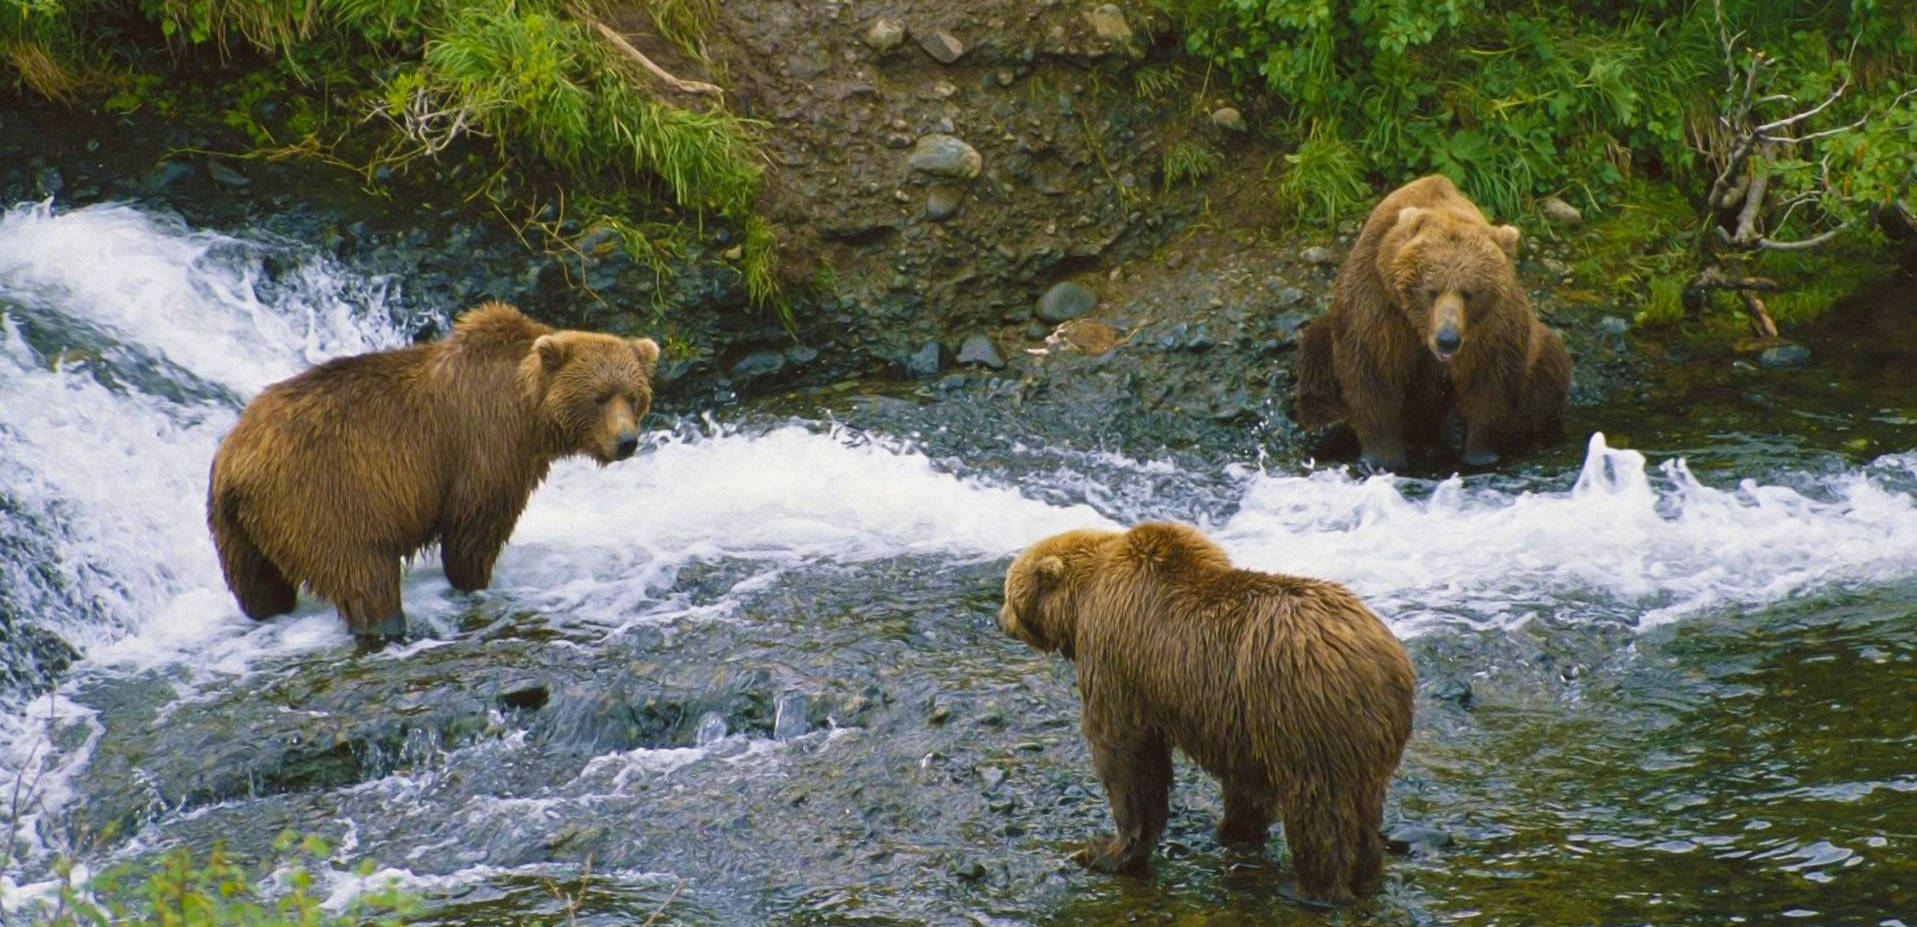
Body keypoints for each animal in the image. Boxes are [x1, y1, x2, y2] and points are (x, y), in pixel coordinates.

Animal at [207, 302, 659, 643]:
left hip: (237, 530)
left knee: (260, 587)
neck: (529, 411)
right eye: (599, 396)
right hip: (322, 496)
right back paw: (385, 625)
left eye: (634, 396)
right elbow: (473, 528)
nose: (626, 441)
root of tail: (235, 460)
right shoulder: (486, 444)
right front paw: (474, 581)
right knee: (362, 573)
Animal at [996, 520, 1418, 904]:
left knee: (1319, 811)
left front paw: (1108, 849)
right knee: (1364, 806)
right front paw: (1234, 827)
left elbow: (1127, 755)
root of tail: (1383, 660)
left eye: (1008, 590)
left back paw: (1312, 888)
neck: (1085, 600)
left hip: (1304, 714)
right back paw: (1365, 872)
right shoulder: (1240, 719)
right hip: (1363, 735)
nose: (1000, 620)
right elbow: (1245, 781)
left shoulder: (1117, 658)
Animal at [1288, 174, 1571, 471]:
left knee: (1548, 374)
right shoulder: (1378, 302)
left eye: (1469, 292)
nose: (1447, 339)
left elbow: (1492, 377)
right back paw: (1327, 425)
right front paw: (1383, 457)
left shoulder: (1493, 325)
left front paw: (1479, 452)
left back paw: (1453, 427)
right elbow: (1371, 369)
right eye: (1431, 290)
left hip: (1540, 350)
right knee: (1316, 347)